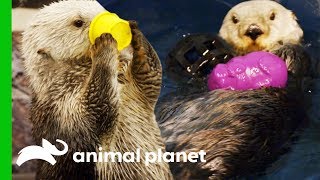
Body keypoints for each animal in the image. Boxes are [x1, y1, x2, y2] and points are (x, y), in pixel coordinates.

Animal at [21, 0, 172, 179]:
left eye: (99, 6)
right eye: (78, 22)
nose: (110, 18)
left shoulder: (136, 85)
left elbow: (151, 73)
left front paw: (135, 34)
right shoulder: (66, 108)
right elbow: (98, 105)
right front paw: (104, 44)